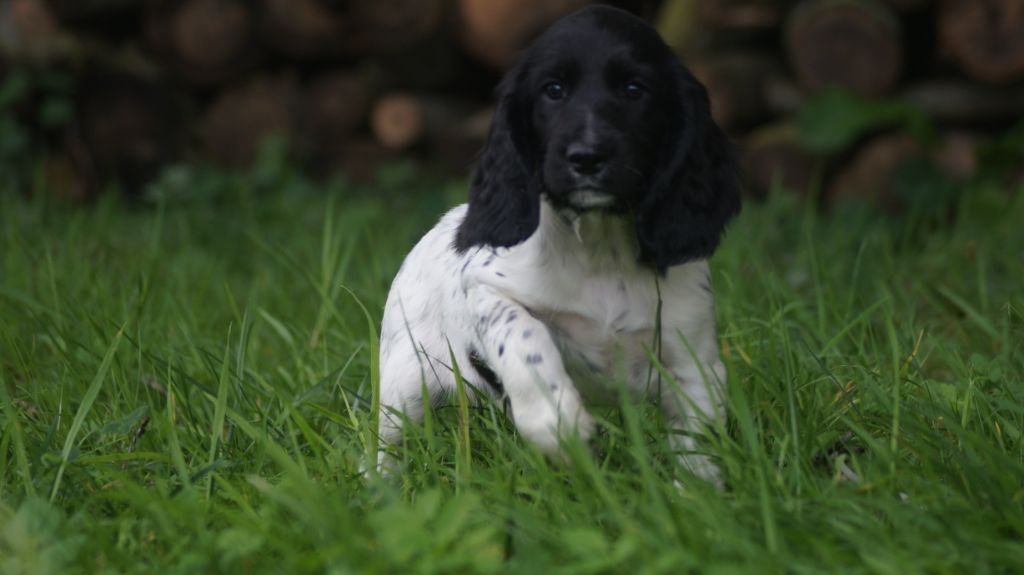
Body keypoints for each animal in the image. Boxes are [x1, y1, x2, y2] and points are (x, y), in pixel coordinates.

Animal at [374, 4, 737, 482]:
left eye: (634, 89)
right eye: (554, 90)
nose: (587, 156)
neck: (601, 251)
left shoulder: (693, 358)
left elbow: (699, 452)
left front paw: (695, 496)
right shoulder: (488, 289)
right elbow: (524, 337)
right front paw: (559, 427)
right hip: (406, 381)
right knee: (385, 447)